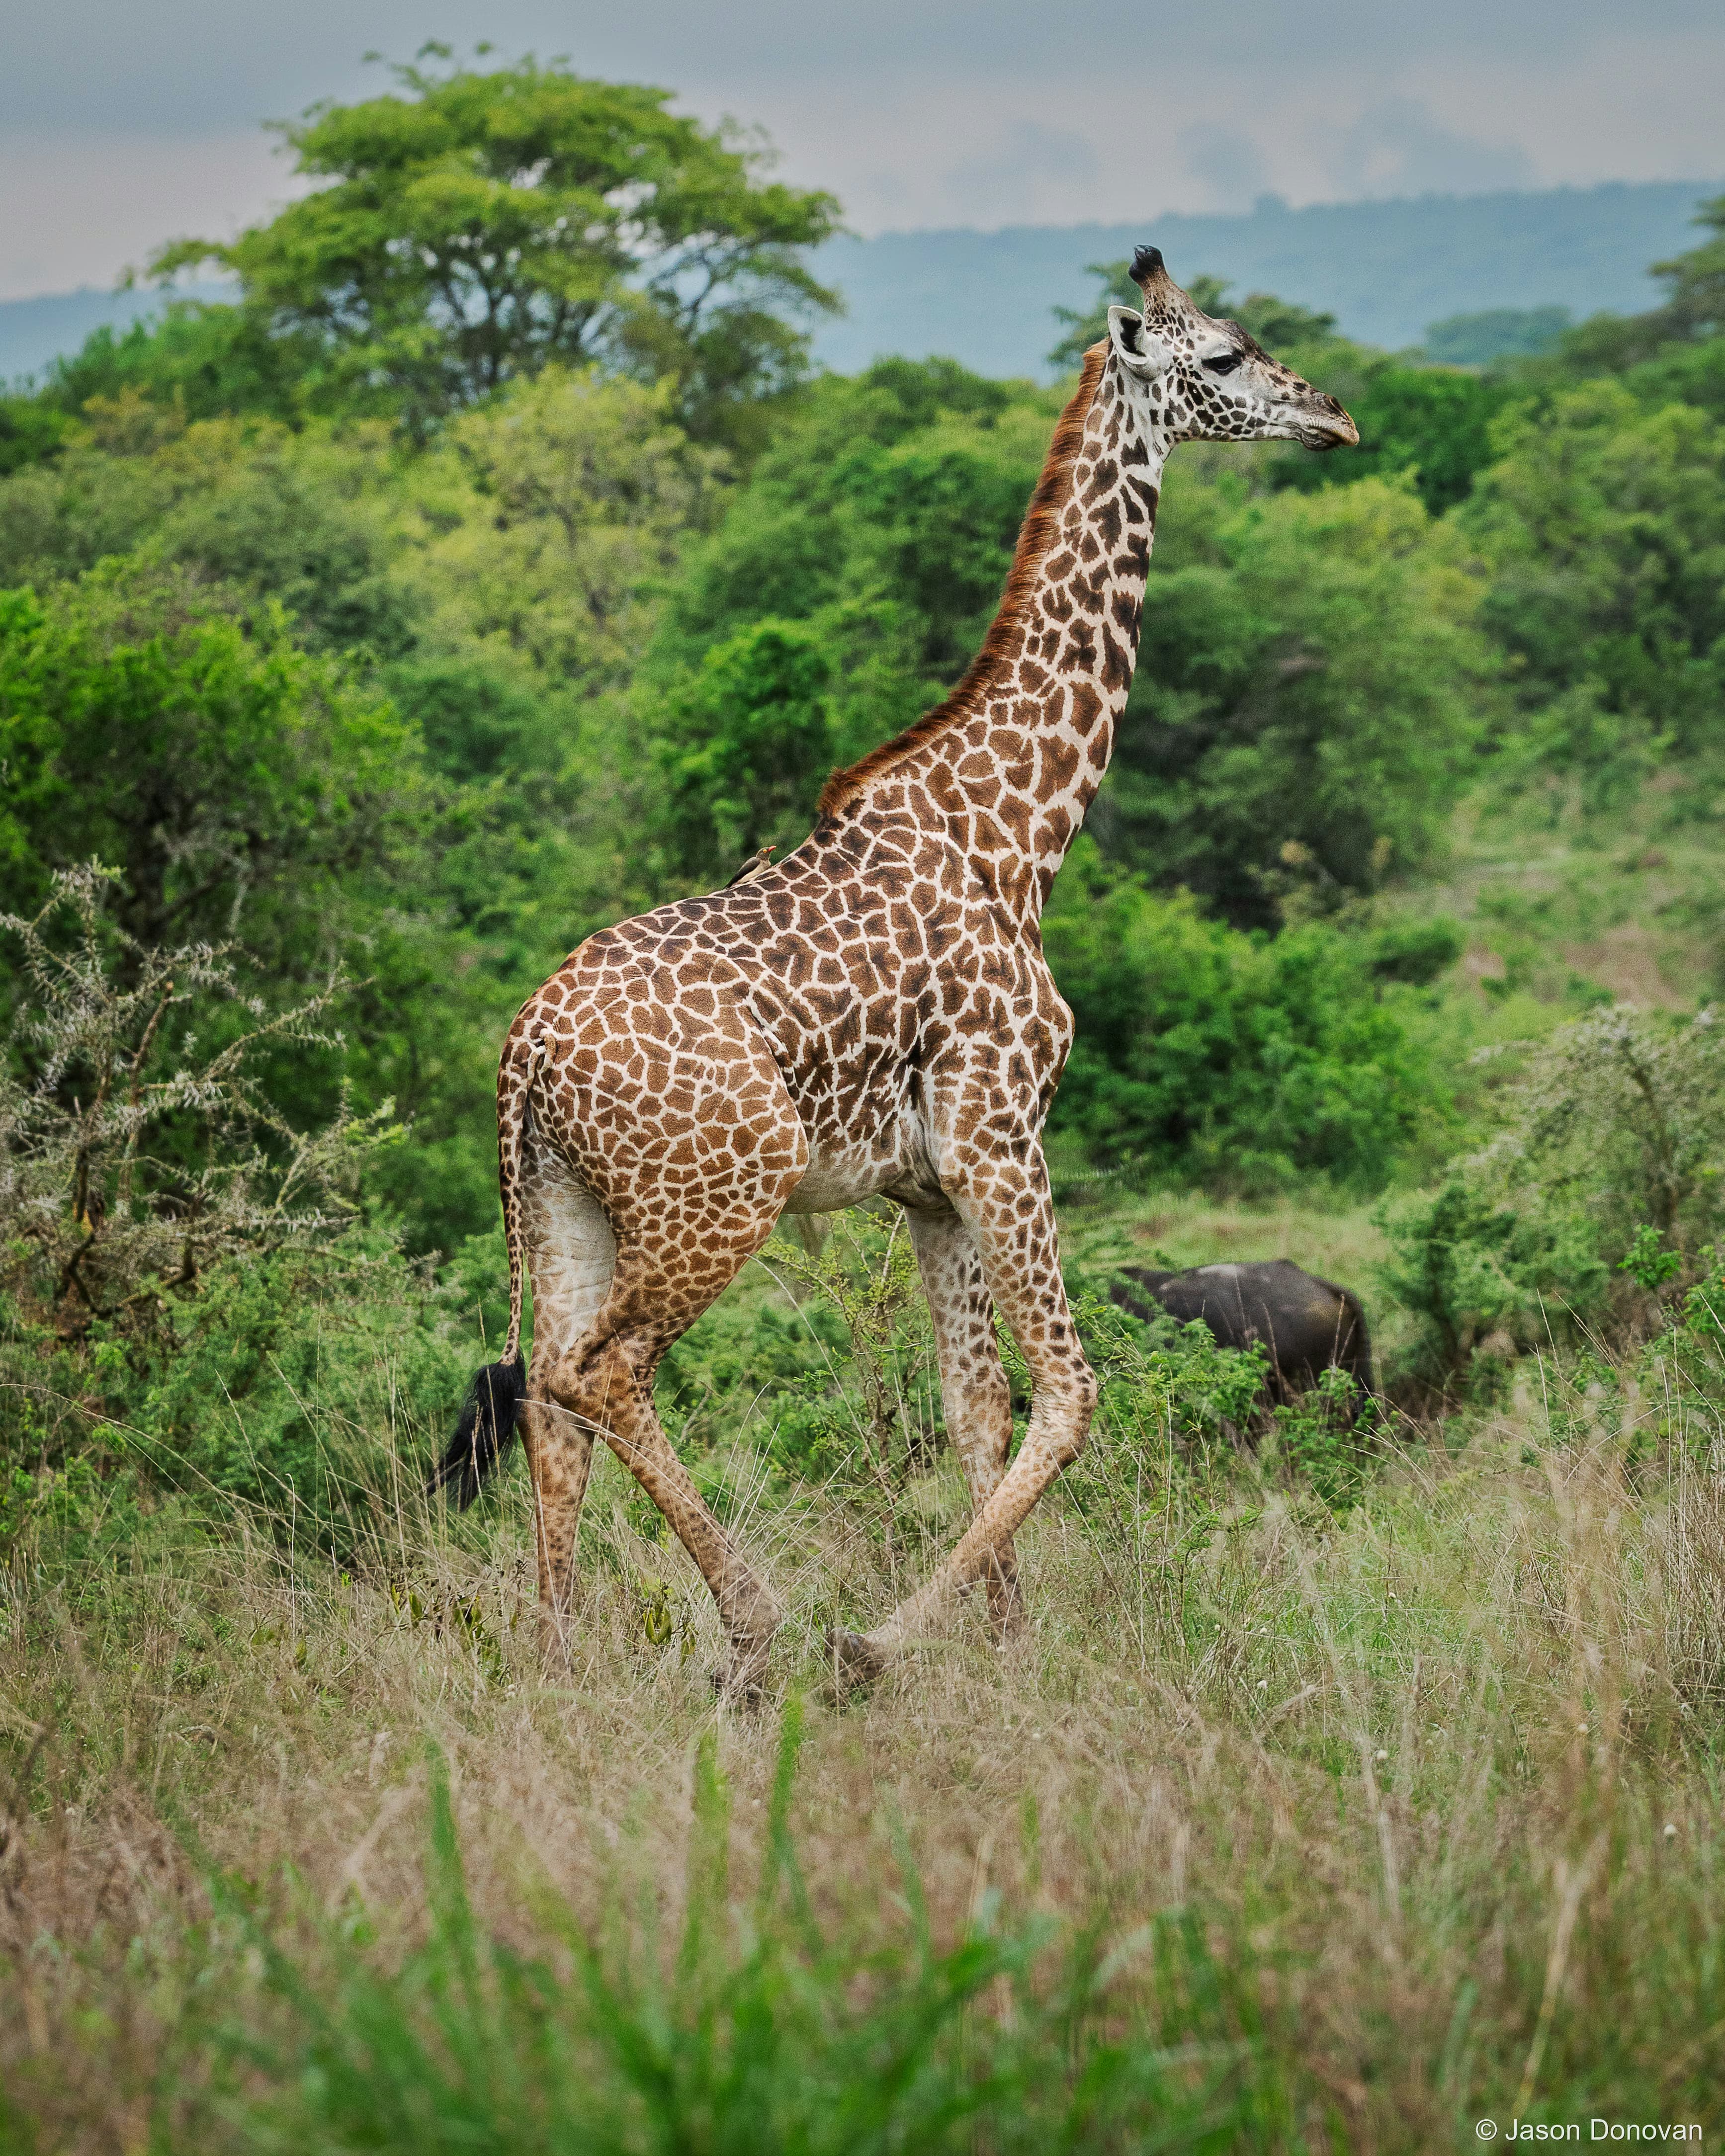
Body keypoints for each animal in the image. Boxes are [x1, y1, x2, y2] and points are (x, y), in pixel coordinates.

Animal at [433, 247, 1358, 1694]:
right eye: (1218, 355)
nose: (1333, 417)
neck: (1021, 832)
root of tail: (522, 1052)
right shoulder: (998, 1128)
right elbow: (1069, 1394)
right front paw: (887, 1637)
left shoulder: (927, 1185)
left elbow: (975, 1409)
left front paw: (1008, 1649)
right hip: (722, 1192)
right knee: (605, 1368)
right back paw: (757, 1625)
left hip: (560, 1201)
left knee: (544, 1391)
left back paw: (556, 1657)